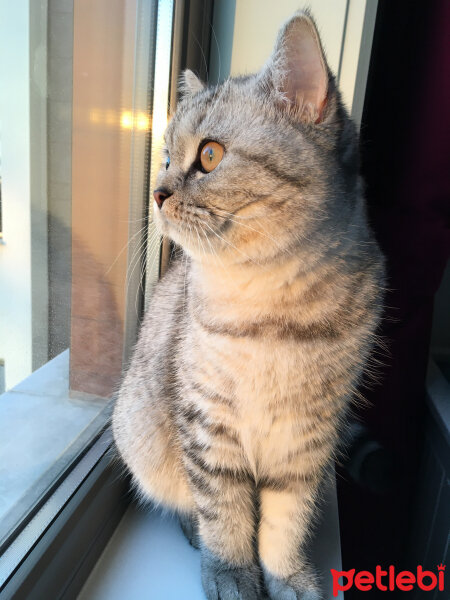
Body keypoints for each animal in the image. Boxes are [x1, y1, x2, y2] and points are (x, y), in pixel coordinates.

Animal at [112, 9, 384, 600]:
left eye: (210, 155)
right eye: (165, 158)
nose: (157, 192)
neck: (270, 307)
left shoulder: (306, 441)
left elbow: (285, 524)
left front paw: (288, 578)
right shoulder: (208, 425)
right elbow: (225, 516)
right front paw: (231, 573)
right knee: (183, 503)